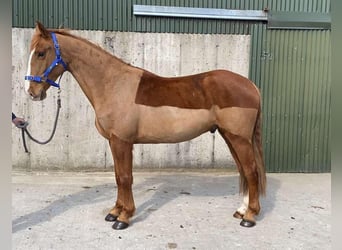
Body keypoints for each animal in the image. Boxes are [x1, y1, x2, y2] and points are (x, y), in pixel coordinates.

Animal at [24, 22, 268, 230]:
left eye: (41, 52)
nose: (32, 92)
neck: (113, 84)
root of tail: (251, 85)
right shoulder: (115, 142)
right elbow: (118, 176)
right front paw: (114, 212)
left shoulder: (122, 141)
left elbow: (125, 178)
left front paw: (123, 217)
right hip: (230, 136)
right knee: (244, 171)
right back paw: (241, 210)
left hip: (238, 138)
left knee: (251, 171)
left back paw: (249, 216)